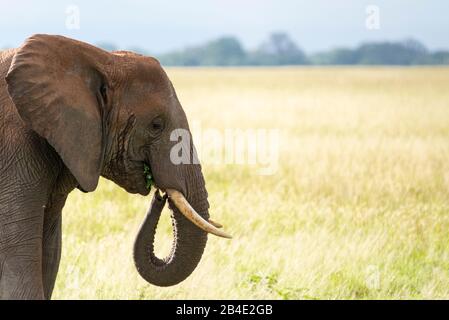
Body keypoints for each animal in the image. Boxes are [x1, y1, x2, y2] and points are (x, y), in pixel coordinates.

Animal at [0, 35, 229, 300]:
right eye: (156, 125)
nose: (159, 195)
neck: (101, 59)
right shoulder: (14, 150)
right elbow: (19, 270)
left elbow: (49, 256)